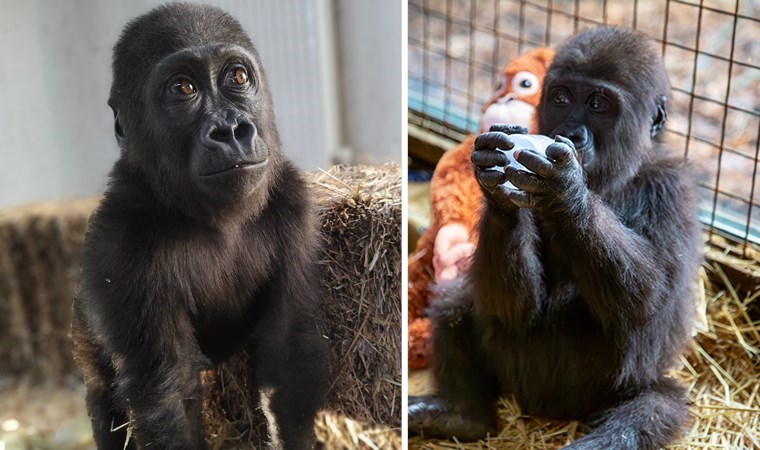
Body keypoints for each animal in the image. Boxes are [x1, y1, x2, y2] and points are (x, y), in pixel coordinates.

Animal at [72, 4, 330, 450]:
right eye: (182, 88)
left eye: (237, 78)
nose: (230, 130)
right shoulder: (117, 244)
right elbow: (169, 395)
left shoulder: (294, 204)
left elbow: (285, 356)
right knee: (105, 398)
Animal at [410, 27, 700, 450]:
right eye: (561, 99)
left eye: (598, 104)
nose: (571, 134)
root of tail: (541, 411)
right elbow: (511, 307)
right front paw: (497, 192)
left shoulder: (672, 189)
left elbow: (649, 300)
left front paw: (566, 191)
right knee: (457, 303)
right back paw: (461, 416)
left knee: (652, 408)